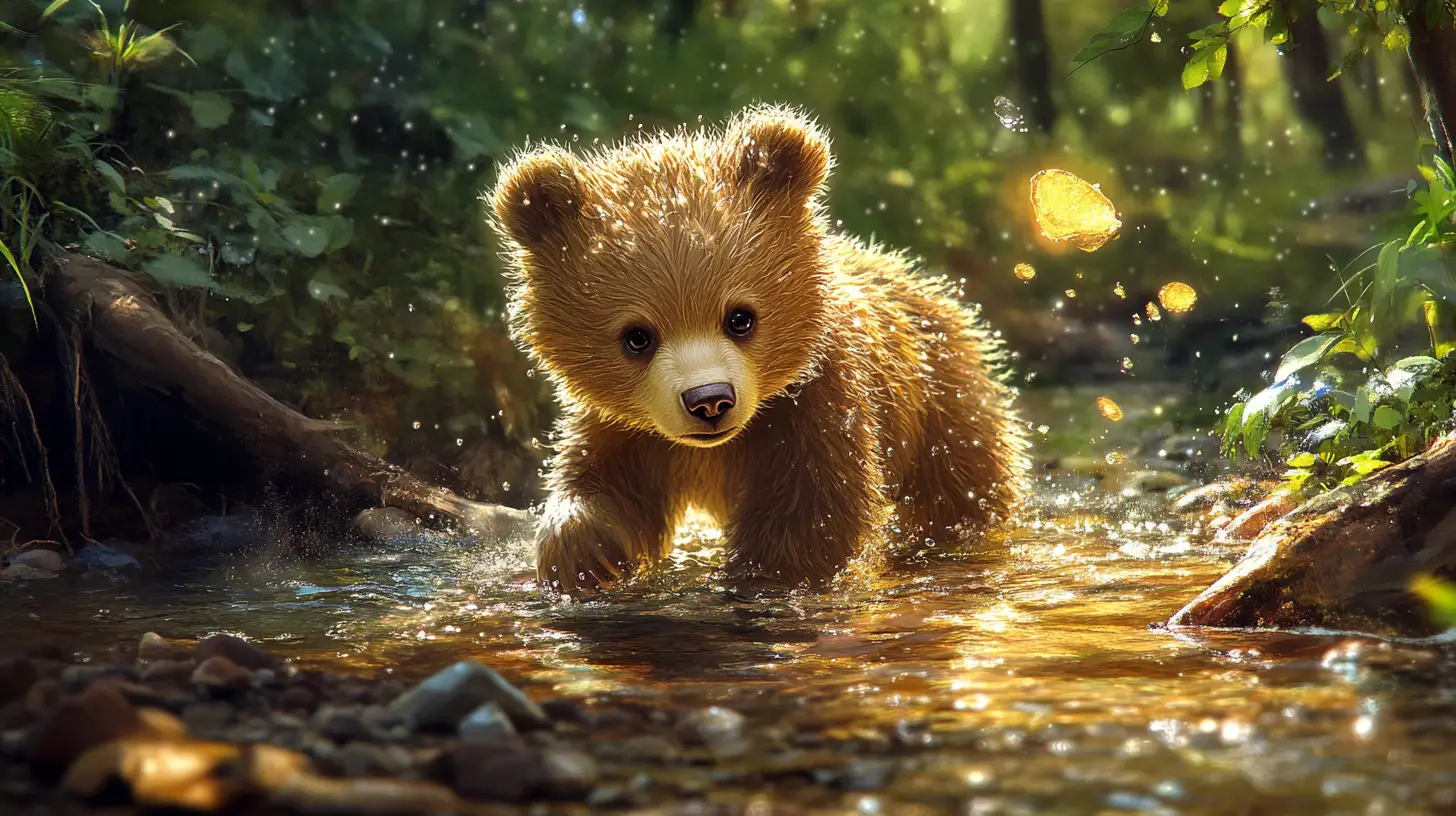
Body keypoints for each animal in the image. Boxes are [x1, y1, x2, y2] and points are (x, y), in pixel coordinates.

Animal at [487, 104, 1028, 596]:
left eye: (740, 317)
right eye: (636, 335)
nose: (709, 400)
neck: (718, 448)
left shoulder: (814, 409)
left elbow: (813, 513)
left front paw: (758, 575)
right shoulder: (628, 429)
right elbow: (602, 482)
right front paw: (586, 553)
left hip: (941, 406)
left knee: (959, 490)